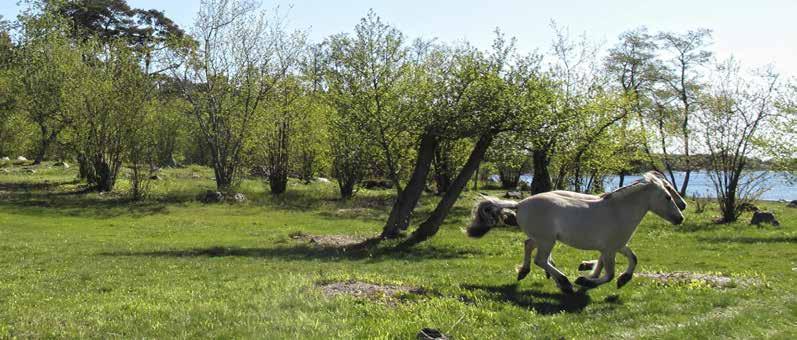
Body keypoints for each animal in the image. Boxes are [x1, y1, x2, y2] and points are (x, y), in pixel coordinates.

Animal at [466, 171, 684, 294]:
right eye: (667, 196)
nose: (680, 218)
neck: (618, 211)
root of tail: (520, 204)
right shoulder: (610, 249)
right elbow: (609, 273)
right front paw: (585, 281)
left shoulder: (617, 246)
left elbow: (633, 258)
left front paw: (623, 279)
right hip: (547, 240)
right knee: (540, 259)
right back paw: (564, 283)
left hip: (543, 238)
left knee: (528, 246)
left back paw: (525, 272)